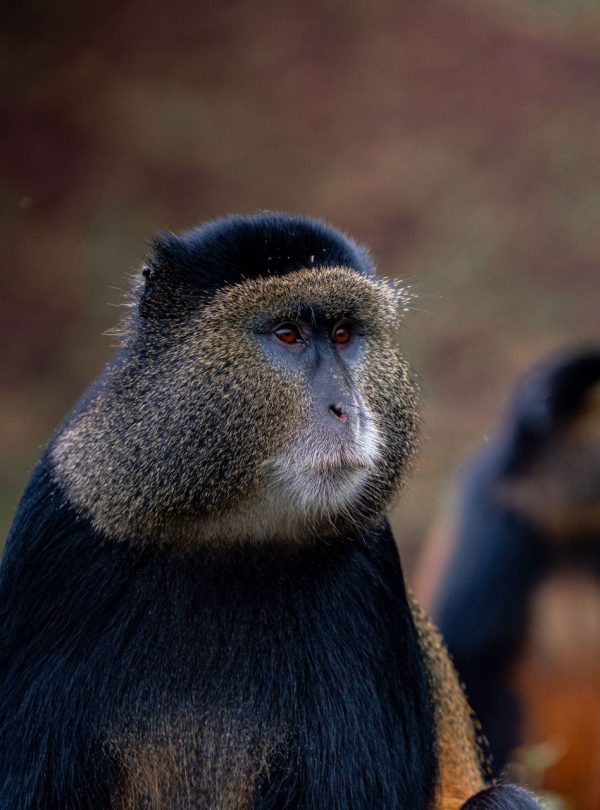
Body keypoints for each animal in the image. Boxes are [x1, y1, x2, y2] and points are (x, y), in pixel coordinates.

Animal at [0, 212, 541, 809]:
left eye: (343, 334)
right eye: (287, 334)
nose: (348, 409)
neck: (226, 529)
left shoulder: (368, 570)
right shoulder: (57, 533)